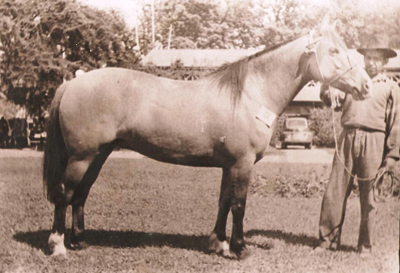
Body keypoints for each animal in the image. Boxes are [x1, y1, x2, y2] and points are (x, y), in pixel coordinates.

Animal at [43, 15, 372, 258]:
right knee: (65, 192)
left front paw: (218, 244)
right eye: (334, 51)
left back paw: (78, 241)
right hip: (83, 156)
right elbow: (239, 204)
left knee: (81, 193)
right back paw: (58, 246)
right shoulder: (242, 164)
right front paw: (240, 249)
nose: (366, 85)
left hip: (98, 154)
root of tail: (72, 83)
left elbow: (223, 201)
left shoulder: (229, 165)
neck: (250, 94)